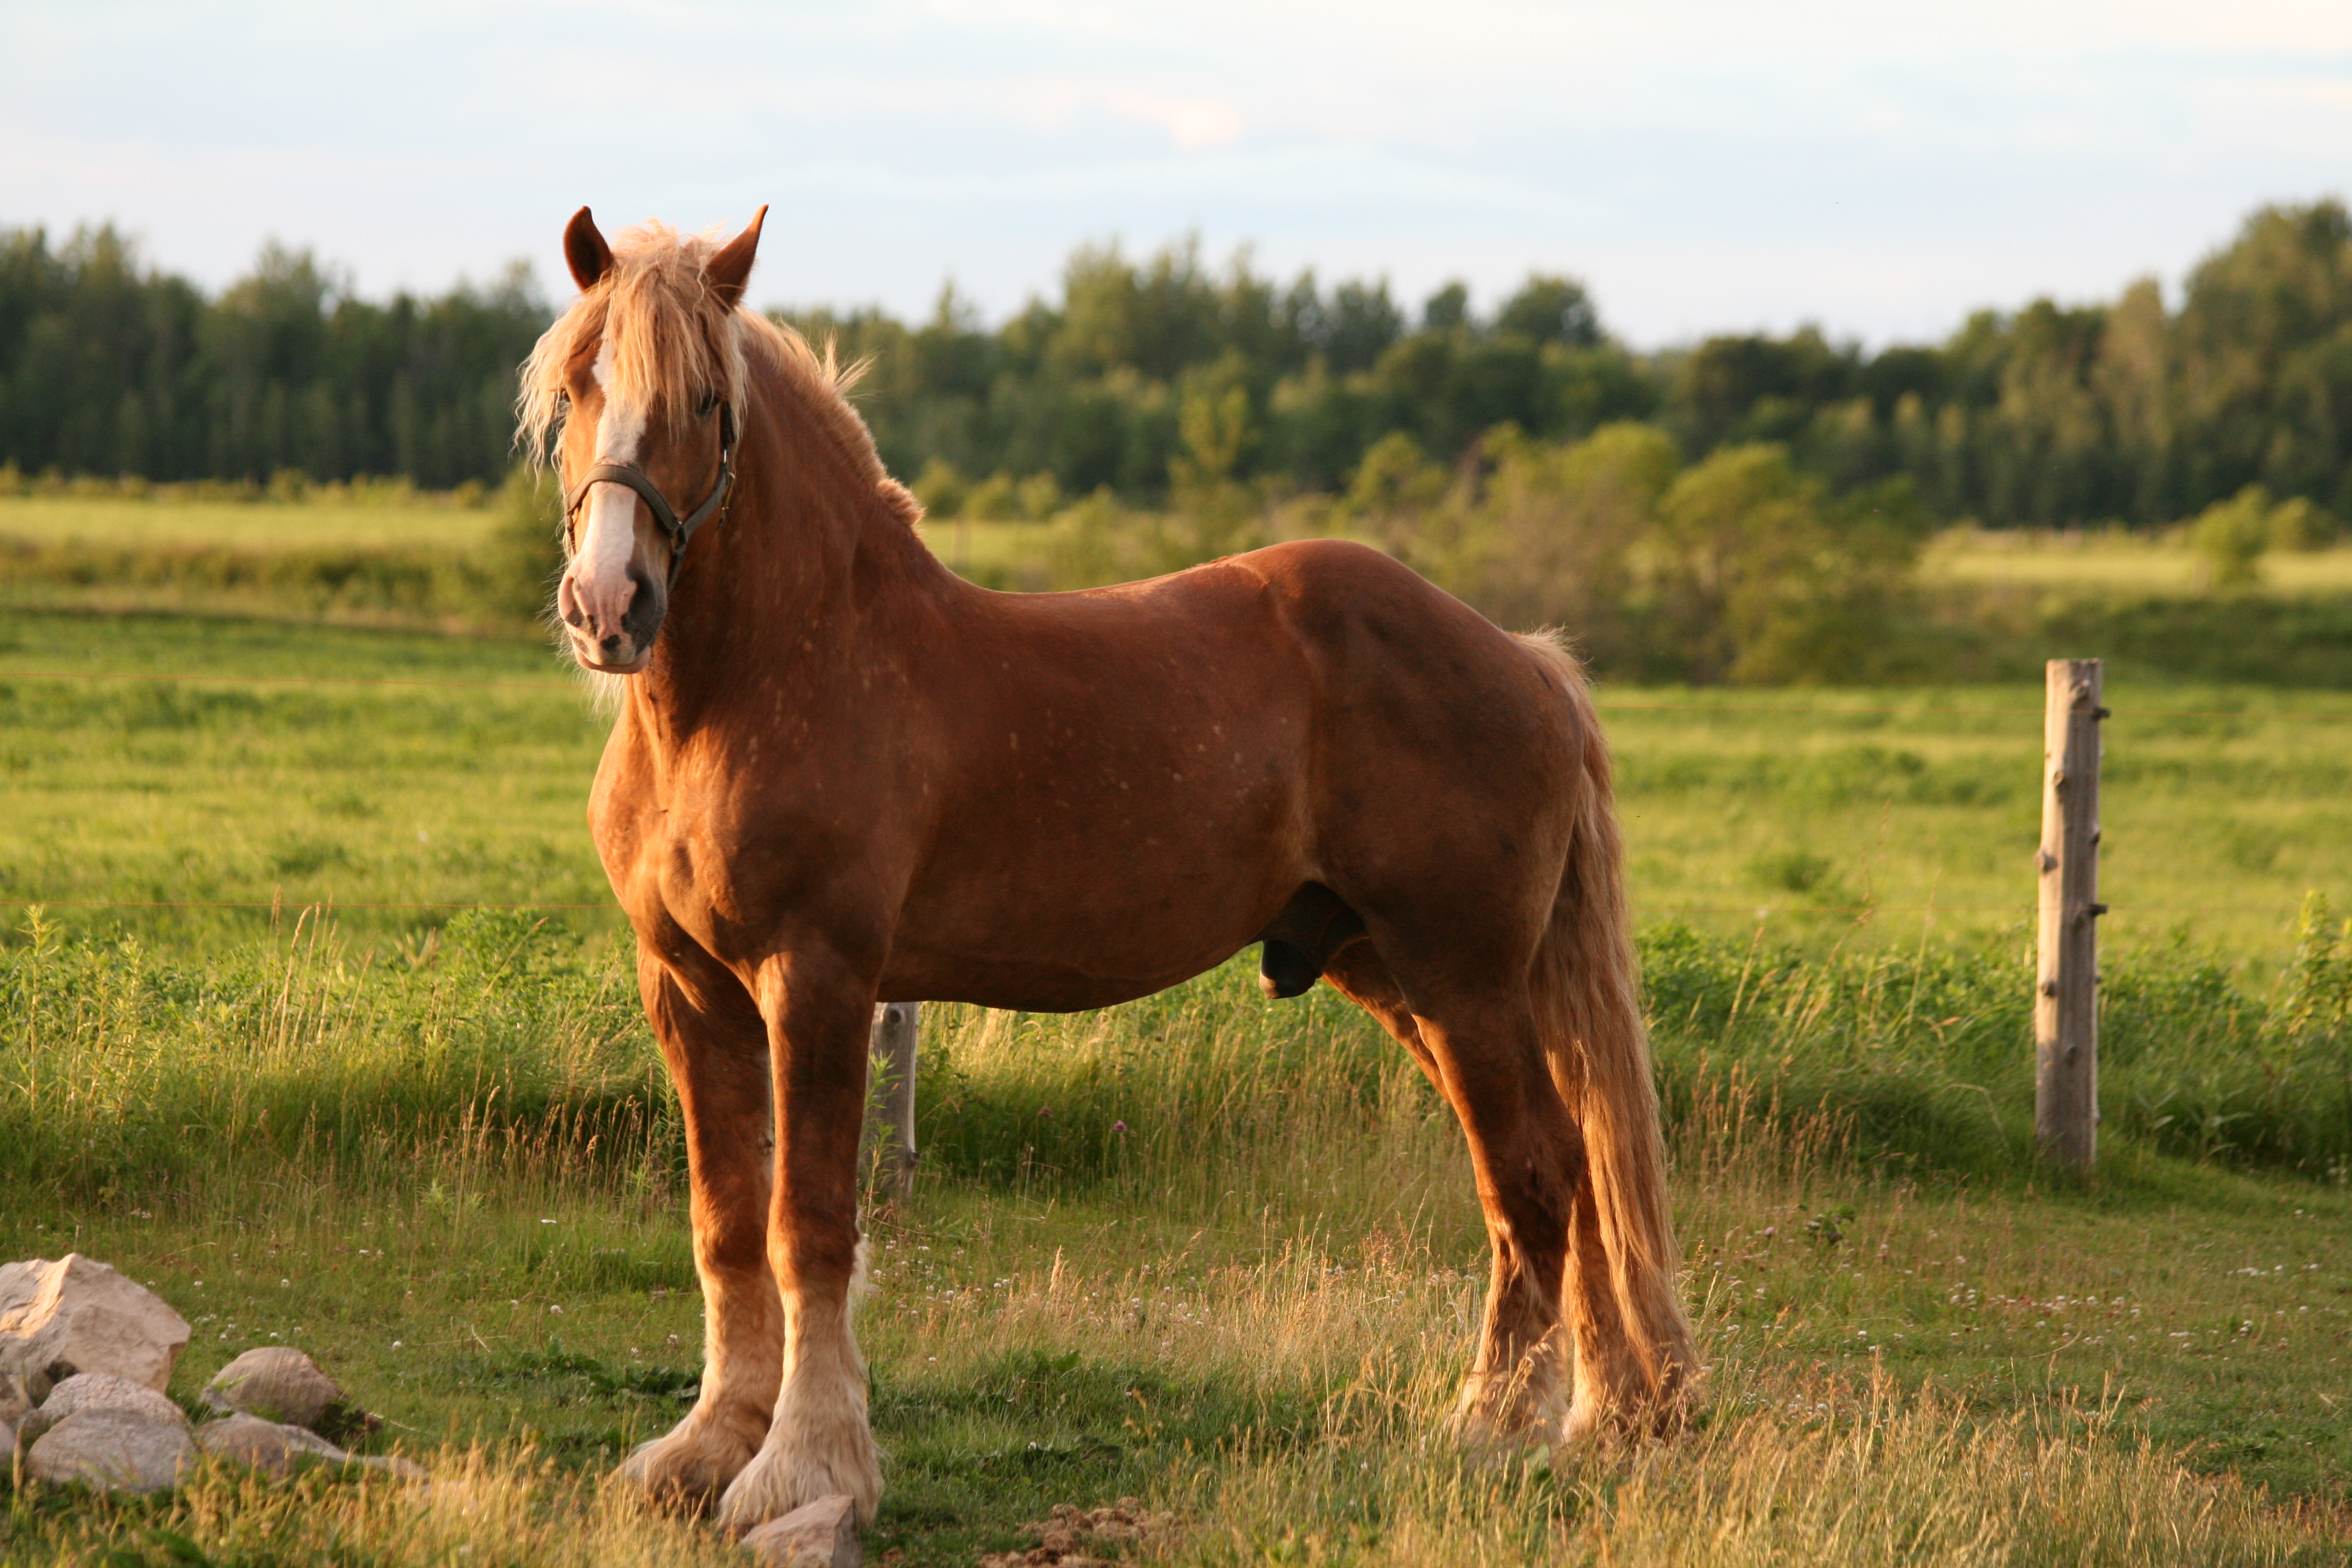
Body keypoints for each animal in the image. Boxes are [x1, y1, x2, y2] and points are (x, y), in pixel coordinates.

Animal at [520, 206, 1693, 1532]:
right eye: (575, 386)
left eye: (707, 401)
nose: (608, 606)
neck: (758, 685)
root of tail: (1524, 657)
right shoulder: (688, 987)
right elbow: (724, 1224)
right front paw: (706, 1448)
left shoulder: (816, 980)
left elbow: (805, 1225)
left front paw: (803, 1467)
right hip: (1399, 978)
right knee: (1579, 1173)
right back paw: (1604, 1415)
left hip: (1464, 983)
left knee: (1536, 1177)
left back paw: (1487, 1428)